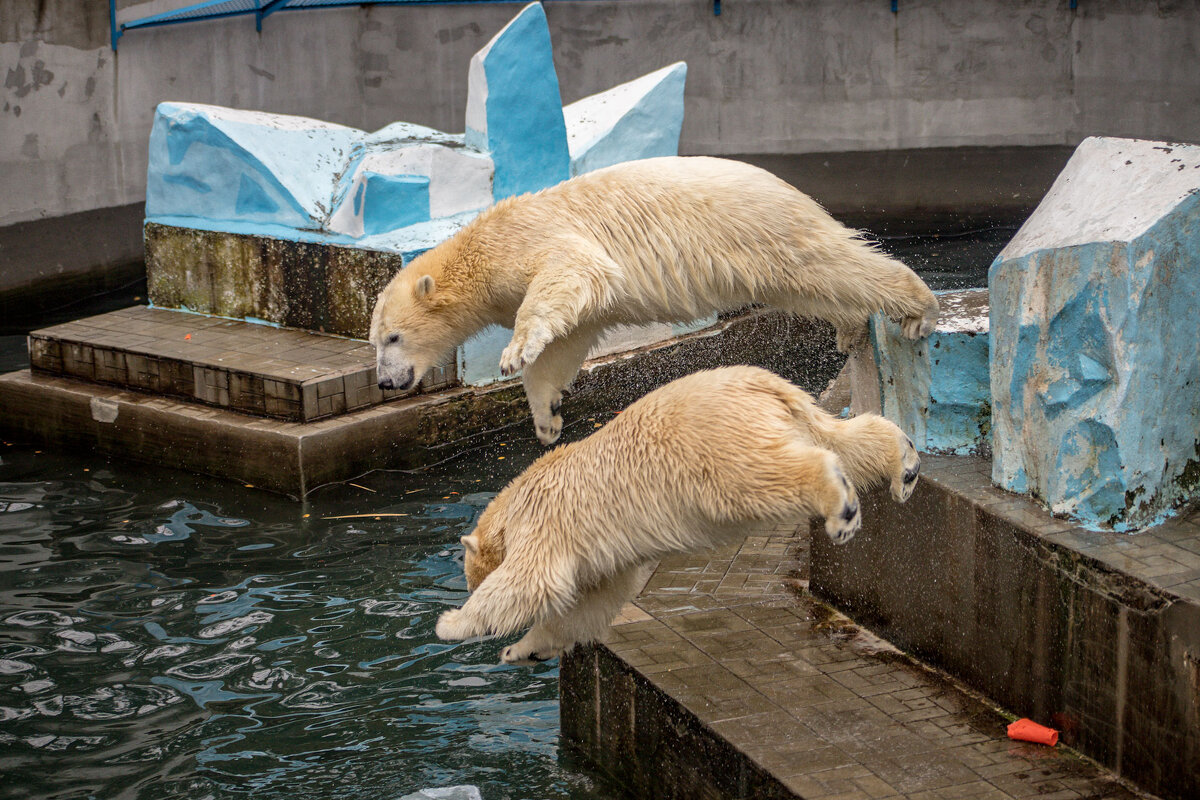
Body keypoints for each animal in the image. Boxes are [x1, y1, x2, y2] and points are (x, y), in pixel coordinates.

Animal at [369, 155, 940, 443]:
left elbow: (571, 272)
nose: (384, 382)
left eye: (393, 337)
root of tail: (793, 188)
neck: (477, 248)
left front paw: (513, 353)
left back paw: (918, 308)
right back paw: (850, 327)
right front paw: (547, 418)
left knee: (834, 264)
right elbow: (568, 339)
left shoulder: (529, 240)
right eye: (376, 341)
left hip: (761, 227)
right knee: (814, 287)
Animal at [434, 367, 916, 666]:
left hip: (716, 444)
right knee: (842, 441)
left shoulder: (546, 522)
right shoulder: (605, 559)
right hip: (787, 418)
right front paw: (523, 651)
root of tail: (766, 384)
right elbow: (589, 605)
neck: (515, 500)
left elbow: (531, 580)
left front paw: (450, 624)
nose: (466, 588)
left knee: (768, 474)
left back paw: (842, 510)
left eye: (470, 578)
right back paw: (905, 464)